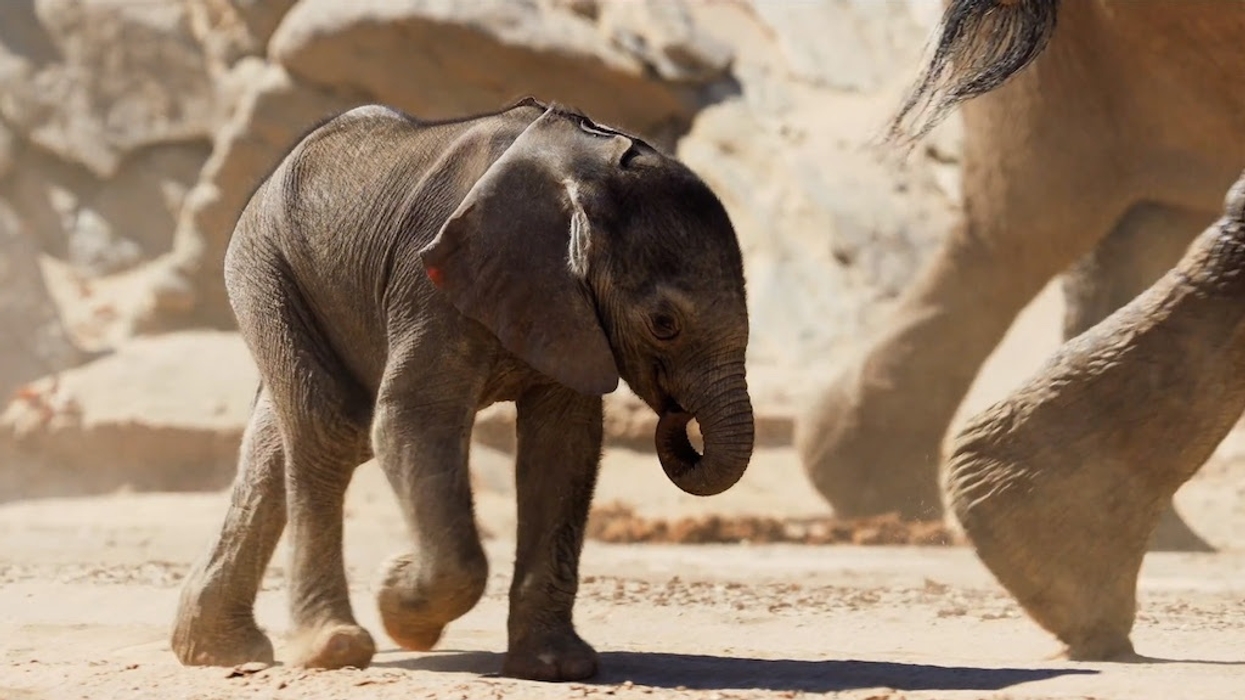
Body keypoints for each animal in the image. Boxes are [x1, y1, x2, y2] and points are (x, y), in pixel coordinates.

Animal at [169, 97, 755, 681]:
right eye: (664, 324)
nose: (676, 415)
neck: (583, 168)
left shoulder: (565, 304)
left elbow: (563, 447)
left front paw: (557, 666)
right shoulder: (431, 278)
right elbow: (411, 418)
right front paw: (398, 599)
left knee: (286, 439)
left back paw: (219, 651)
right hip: (266, 265)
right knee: (331, 428)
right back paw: (331, 649)